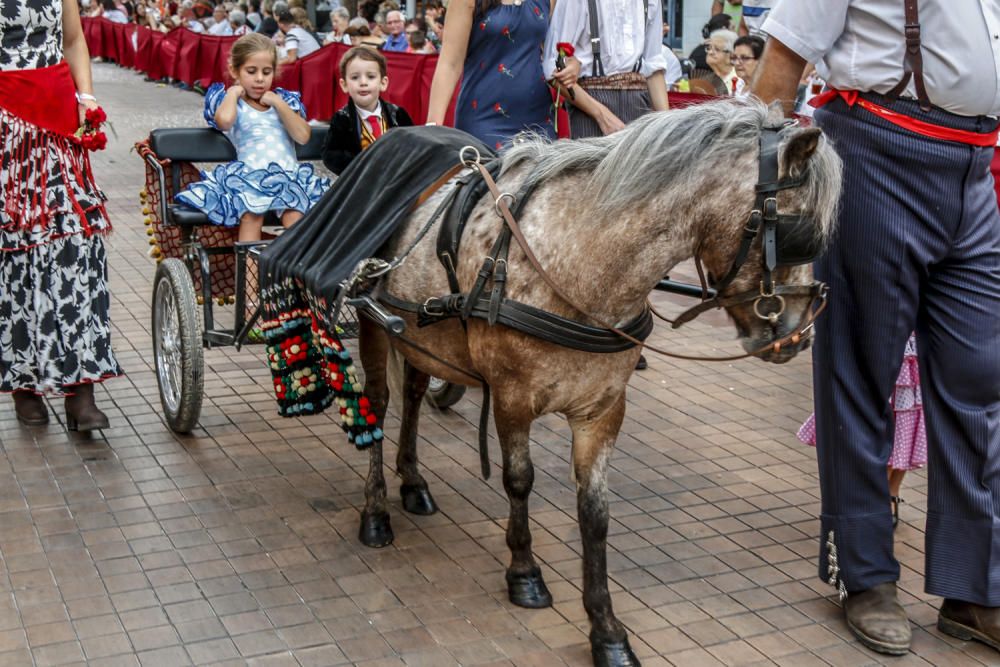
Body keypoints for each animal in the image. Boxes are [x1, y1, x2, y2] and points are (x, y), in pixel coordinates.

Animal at [356, 100, 840, 667]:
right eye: (798, 230)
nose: (799, 334)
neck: (578, 260)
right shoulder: (512, 398)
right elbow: (518, 481)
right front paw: (525, 572)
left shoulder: (603, 411)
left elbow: (595, 513)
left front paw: (606, 628)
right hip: (373, 321)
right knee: (377, 404)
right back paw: (375, 512)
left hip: (420, 335)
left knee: (411, 396)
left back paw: (413, 482)